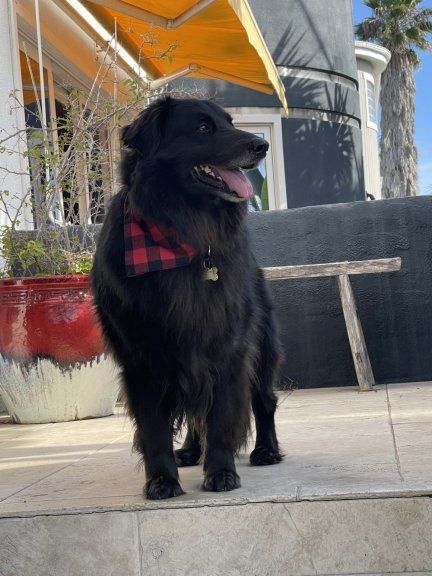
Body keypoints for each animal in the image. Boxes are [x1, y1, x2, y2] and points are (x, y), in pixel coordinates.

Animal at [92, 97, 282, 498]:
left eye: (230, 123)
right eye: (203, 128)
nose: (261, 146)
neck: (182, 236)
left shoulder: (229, 349)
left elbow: (222, 418)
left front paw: (222, 472)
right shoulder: (141, 360)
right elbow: (154, 430)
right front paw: (162, 479)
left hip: (262, 350)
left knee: (264, 401)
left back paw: (266, 449)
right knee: (195, 412)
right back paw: (192, 451)